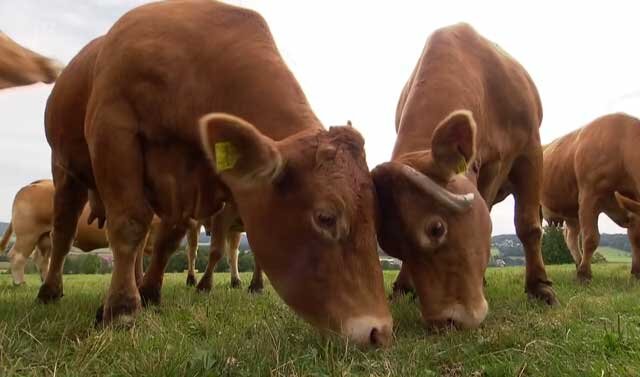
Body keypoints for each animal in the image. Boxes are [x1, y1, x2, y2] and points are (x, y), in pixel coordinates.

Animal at [40, 0, 392, 346]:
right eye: (325, 217)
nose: (380, 331)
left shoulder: (196, 186)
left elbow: (168, 239)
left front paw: (149, 291)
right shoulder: (113, 131)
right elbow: (129, 224)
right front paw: (121, 308)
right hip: (64, 167)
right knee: (64, 231)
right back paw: (50, 289)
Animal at [372, 23, 556, 328]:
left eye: (436, 229)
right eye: (393, 247)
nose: (445, 321)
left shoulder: (528, 150)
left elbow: (527, 225)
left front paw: (539, 287)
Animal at [544, 113, 640, 280]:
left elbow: (634, 235)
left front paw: (636, 272)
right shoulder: (589, 195)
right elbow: (590, 238)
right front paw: (584, 274)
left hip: (570, 211)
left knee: (570, 235)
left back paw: (577, 263)